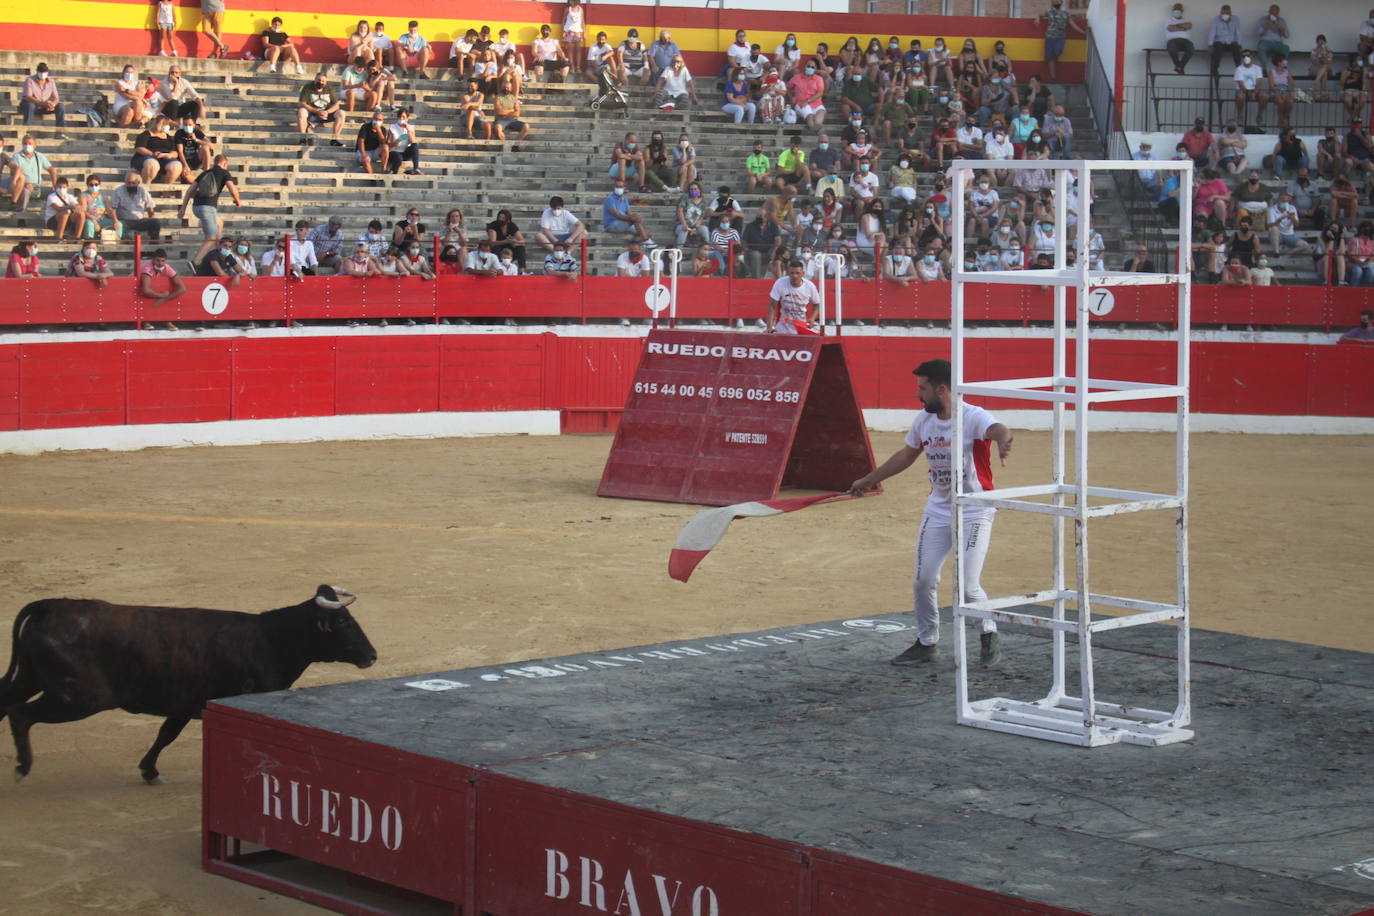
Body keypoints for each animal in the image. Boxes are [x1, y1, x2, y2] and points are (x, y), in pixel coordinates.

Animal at [0, 587, 376, 780]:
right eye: (342, 621)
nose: (372, 655)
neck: (270, 639)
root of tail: (51, 606)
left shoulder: (184, 704)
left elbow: (166, 734)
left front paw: (149, 769)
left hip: (33, 678)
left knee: (6, 702)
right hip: (79, 696)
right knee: (20, 714)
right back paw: (22, 766)